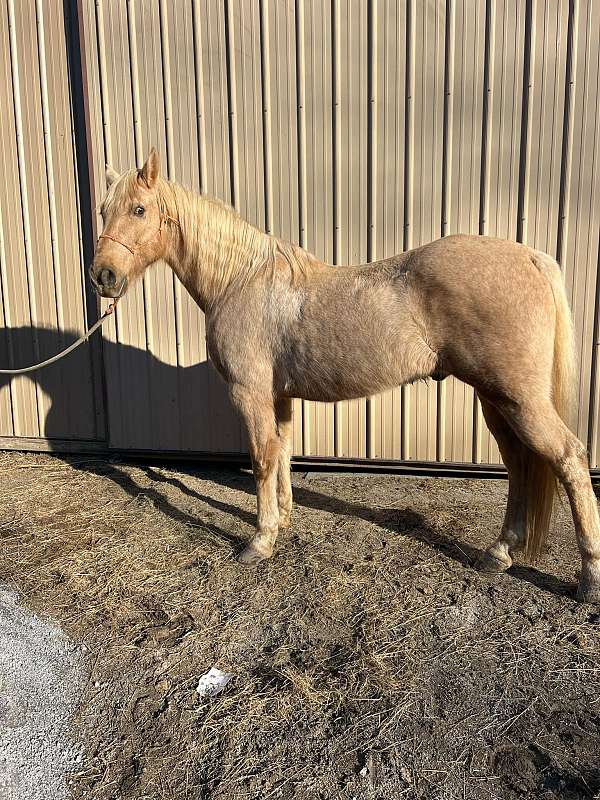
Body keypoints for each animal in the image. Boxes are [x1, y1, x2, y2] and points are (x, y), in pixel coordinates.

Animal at [91, 148, 600, 600]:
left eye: (138, 209)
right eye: (102, 210)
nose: (103, 276)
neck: (241, 280)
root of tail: (531, 256)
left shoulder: (249, 393)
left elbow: (262, 458)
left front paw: (260, 541)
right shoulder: (279, 396)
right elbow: (282, 453)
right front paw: (284, 520)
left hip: (519, 400)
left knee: (569, 458)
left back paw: (588, 580)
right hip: (496, 400)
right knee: (519, 466)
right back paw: (499, 553)